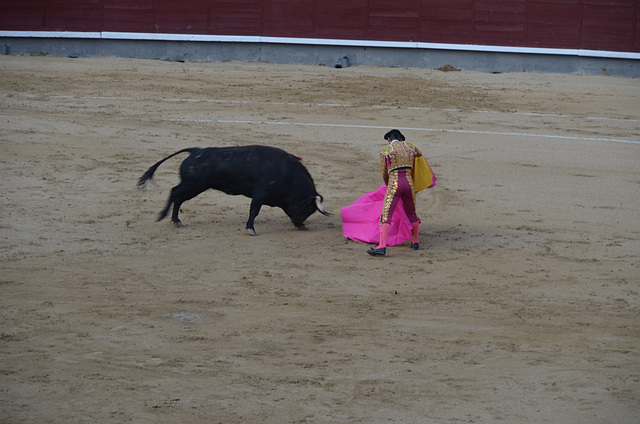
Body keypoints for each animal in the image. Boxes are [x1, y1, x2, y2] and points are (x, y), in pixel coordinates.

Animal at [138, 144, 332, 234]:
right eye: (309, 208)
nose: (301, 225)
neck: (287, 173)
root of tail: (196, 150)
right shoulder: (260, 192)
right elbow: (254, 210)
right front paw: (250, 229)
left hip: (197, 187)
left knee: (179, 198)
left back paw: (177, 220)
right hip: (193, 184)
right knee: (174, 193)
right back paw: (163, 216)